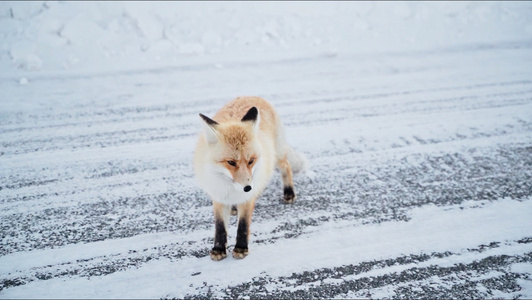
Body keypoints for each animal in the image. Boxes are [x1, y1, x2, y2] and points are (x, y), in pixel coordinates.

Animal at [194, 96, 308, 260]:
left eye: (251, 160)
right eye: (231, 162)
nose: (248, 188)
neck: (230, 188)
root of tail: (253, 96)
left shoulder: (248, 198)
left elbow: (243, 225)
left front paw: (241, 248)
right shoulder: (218, 195)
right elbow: (220, 226)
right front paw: (218, 249)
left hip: (277, 157)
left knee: (286, 166)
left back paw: (289, 192)